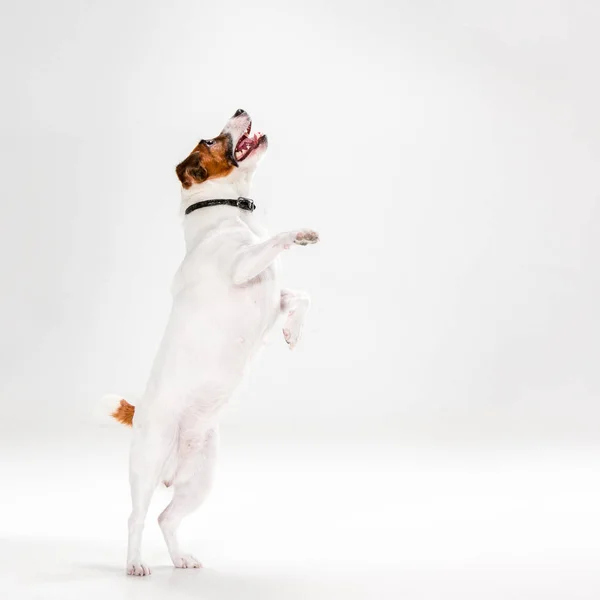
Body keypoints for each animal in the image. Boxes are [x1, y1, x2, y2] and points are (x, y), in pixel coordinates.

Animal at [110, 109, 322, 576]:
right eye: (209, 140)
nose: (241, 109)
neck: (232, 213)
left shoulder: (272, 295)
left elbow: (301, 296)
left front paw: (292, 333)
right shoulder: (243, 265)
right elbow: (276, 240)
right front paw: (299, 233)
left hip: (201, 480)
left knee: (166, 517)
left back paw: (180, 558)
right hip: (149, 462)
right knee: (136, 517)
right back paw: (135, 564)